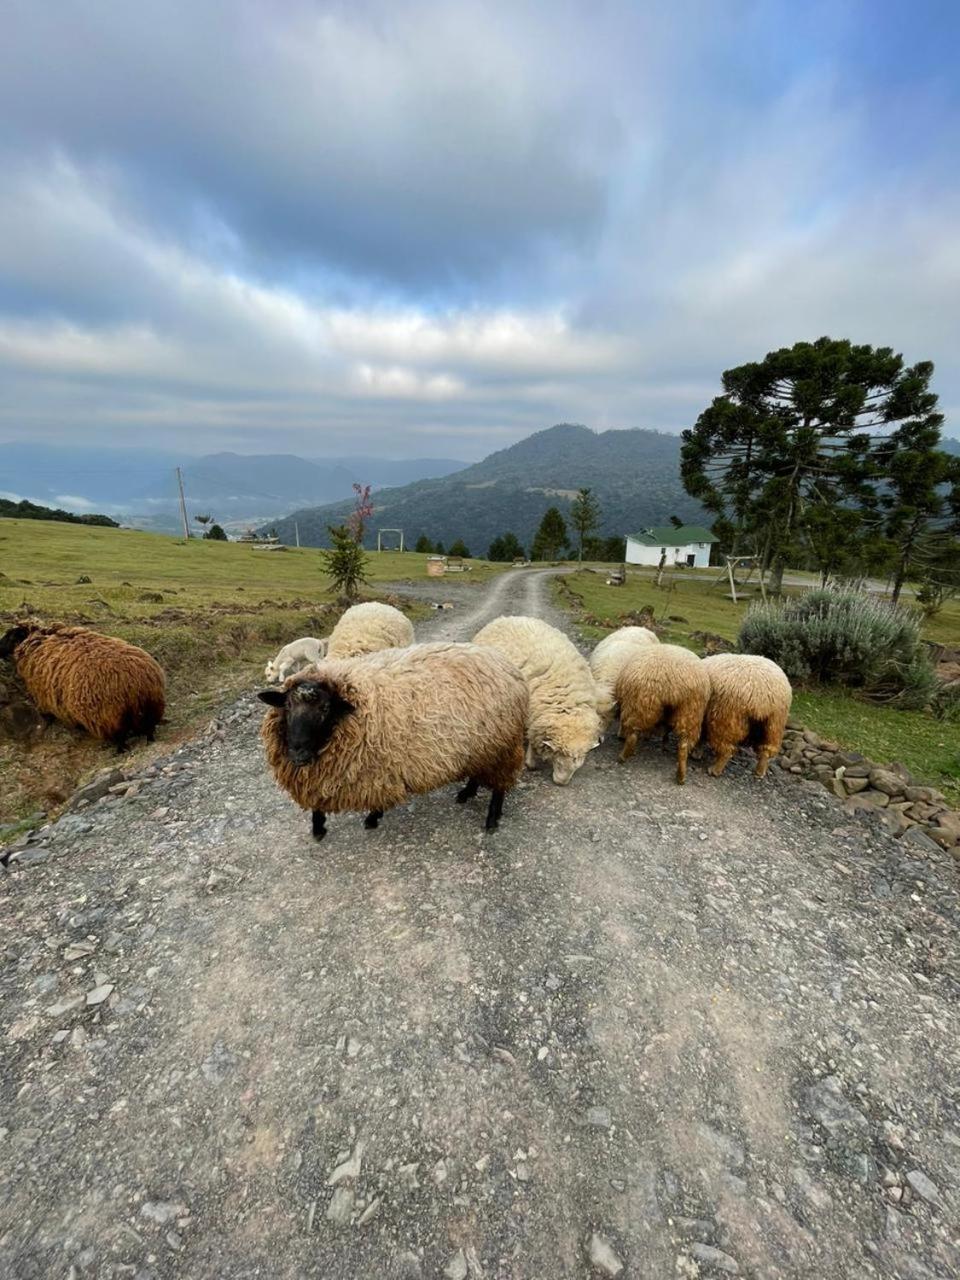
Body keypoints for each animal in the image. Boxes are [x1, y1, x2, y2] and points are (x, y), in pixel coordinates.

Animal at [0, 622, 166, 747]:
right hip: (151, 707)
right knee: (149, 729)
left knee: (120, 738)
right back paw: (149, 741)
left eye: (10, 635)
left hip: (110, 717)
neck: (38, 641)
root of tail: (136, 682)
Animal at [259, 640, 529, 839]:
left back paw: (491, 819)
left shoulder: (376, 766)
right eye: (287, 706)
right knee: (477, 773)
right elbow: (317, 803)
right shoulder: (323, 773)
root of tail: (506, 664)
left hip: (502, 745)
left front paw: (371, 818)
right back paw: (466, 793)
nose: (299, 755)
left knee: (499, 787)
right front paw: (318, 827)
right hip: (482, 744)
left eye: (325, 708)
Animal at [473, 614, 601, 783]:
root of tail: (504, 618)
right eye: (559, 758)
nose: (561, 783)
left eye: (577, 763)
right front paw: (530, 762)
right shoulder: (532, 712)